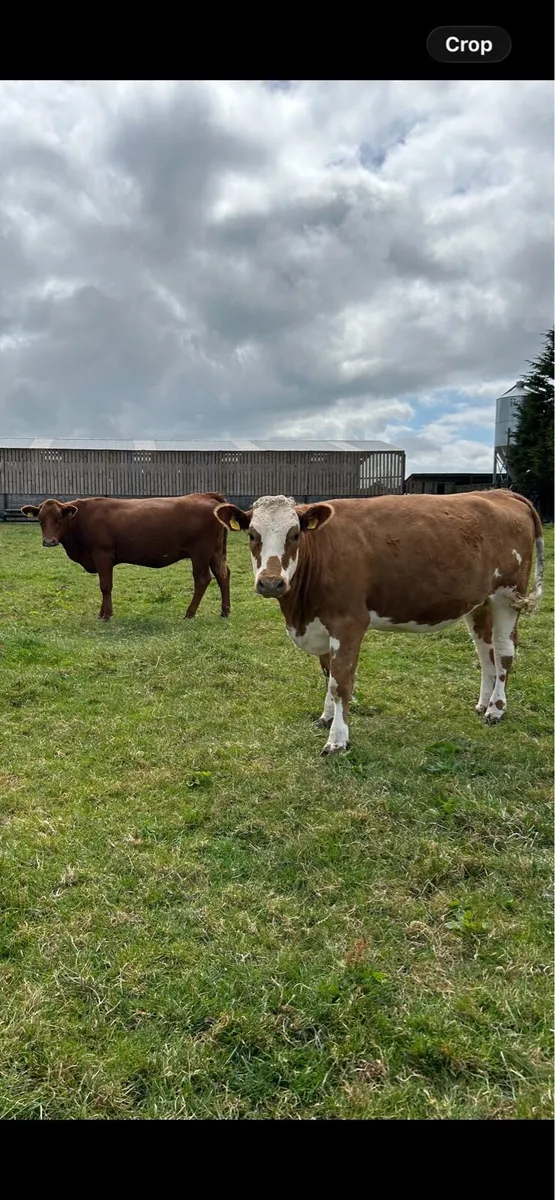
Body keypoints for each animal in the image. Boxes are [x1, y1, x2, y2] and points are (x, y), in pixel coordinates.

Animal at [21, 493, 231, 621]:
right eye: (40, 519)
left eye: (59, 518)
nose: (49, 541)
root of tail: (206, 495)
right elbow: (104, 586)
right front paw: (102, 613)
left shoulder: (103, 554)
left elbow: (105, 586)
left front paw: (106, 615)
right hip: (215, 552)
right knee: (223, 575)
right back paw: (225, 611)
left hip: (200, 553)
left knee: (203, 579)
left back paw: (189, 613)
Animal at [215, 490, 544, 756]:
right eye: (252, 535)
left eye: (295, 534)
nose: (271, 583)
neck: (300, 611)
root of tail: (501, 492)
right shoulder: (322, 626)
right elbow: (328, 674)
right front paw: (326, 717)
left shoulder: (348, 624)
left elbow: (341, 683)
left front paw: (338, 740)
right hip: (480, 602)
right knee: (485, 652)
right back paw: (483, 703)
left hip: (508, 594)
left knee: (504, 652)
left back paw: (496, 710)